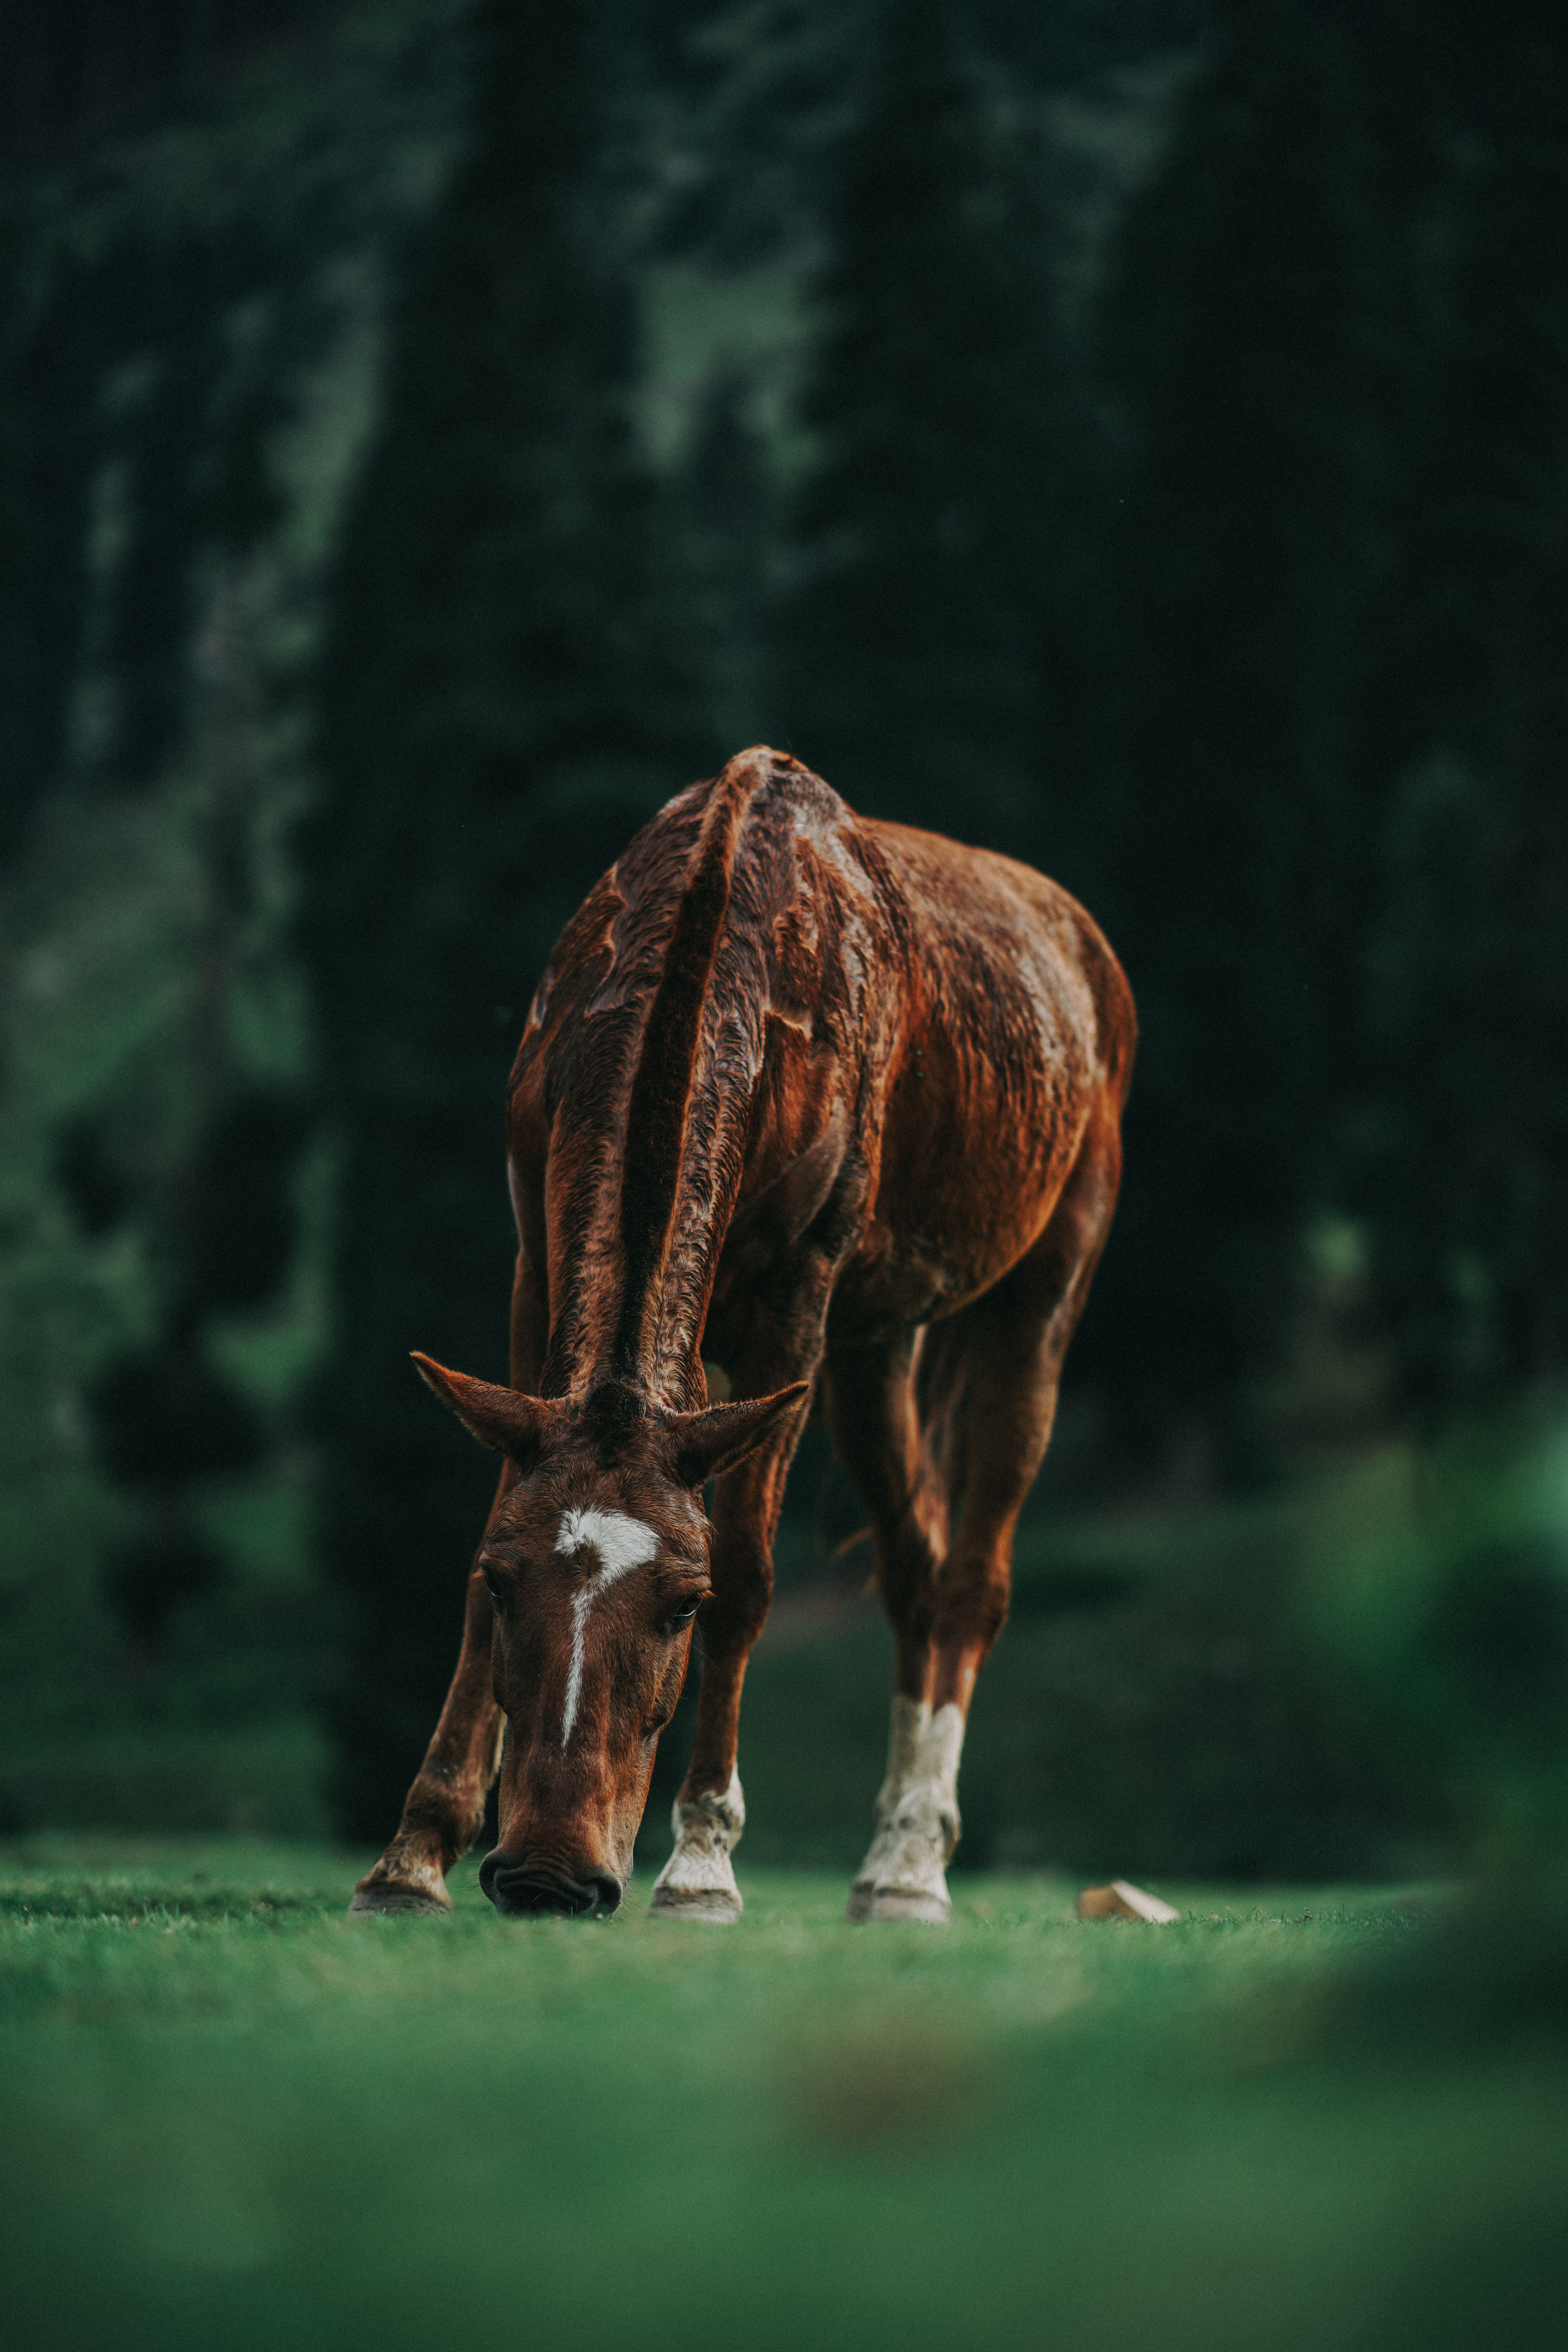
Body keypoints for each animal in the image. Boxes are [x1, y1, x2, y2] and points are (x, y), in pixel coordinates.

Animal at [350, 746, 1134, 1923]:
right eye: (504, 1579)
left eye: (684, 1603)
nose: (549, 1875)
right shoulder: (537, 1258)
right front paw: (410, 1858)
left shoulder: (797, 1292)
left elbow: (756, 1572)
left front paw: (702, 1864)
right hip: (877, 1341)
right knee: (914, 1560)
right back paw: (883, 1865)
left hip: (1048, 1274)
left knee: (974, 1578)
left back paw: (914, 1866)